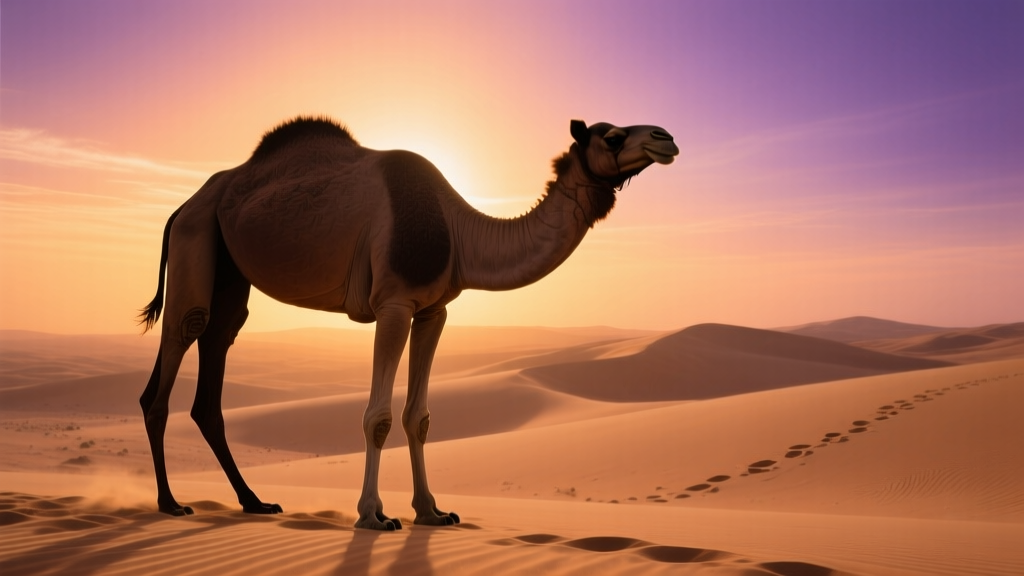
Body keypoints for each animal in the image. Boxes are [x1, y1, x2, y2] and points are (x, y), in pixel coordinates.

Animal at [138, 117, 678, 530]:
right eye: (612, 136)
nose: (666, 137)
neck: (458, 232)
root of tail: (182, 205)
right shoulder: (393, 304)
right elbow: (377, 417)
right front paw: (373, 516)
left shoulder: (433, 310)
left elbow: (418, 417)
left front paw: (433, 512)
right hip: (196, 235)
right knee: (183, 337)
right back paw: (170, 503)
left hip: (229, 266)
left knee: (219, 344)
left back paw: (255, 502)